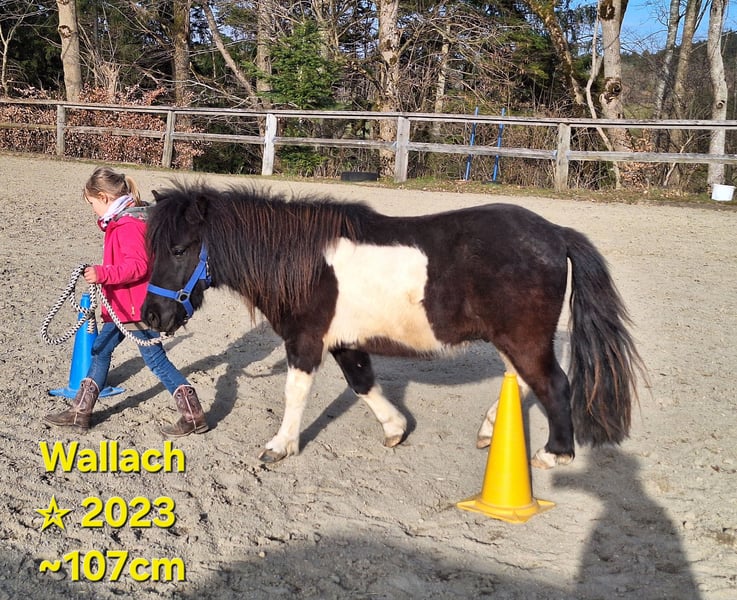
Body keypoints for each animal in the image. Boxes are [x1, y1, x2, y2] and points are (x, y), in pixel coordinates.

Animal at [142, 182, 644, 468]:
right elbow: (363, 384)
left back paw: (554, 453)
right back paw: (489, 431)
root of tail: (556, 233)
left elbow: (295, 393)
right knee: (522, 381)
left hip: (523, 337)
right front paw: (395, 429)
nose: (151, 316)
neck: (300, 261)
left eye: (180, 249)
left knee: (553, 385)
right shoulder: (343, 341)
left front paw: (280, 446)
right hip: (512, 338)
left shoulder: (305, 340)